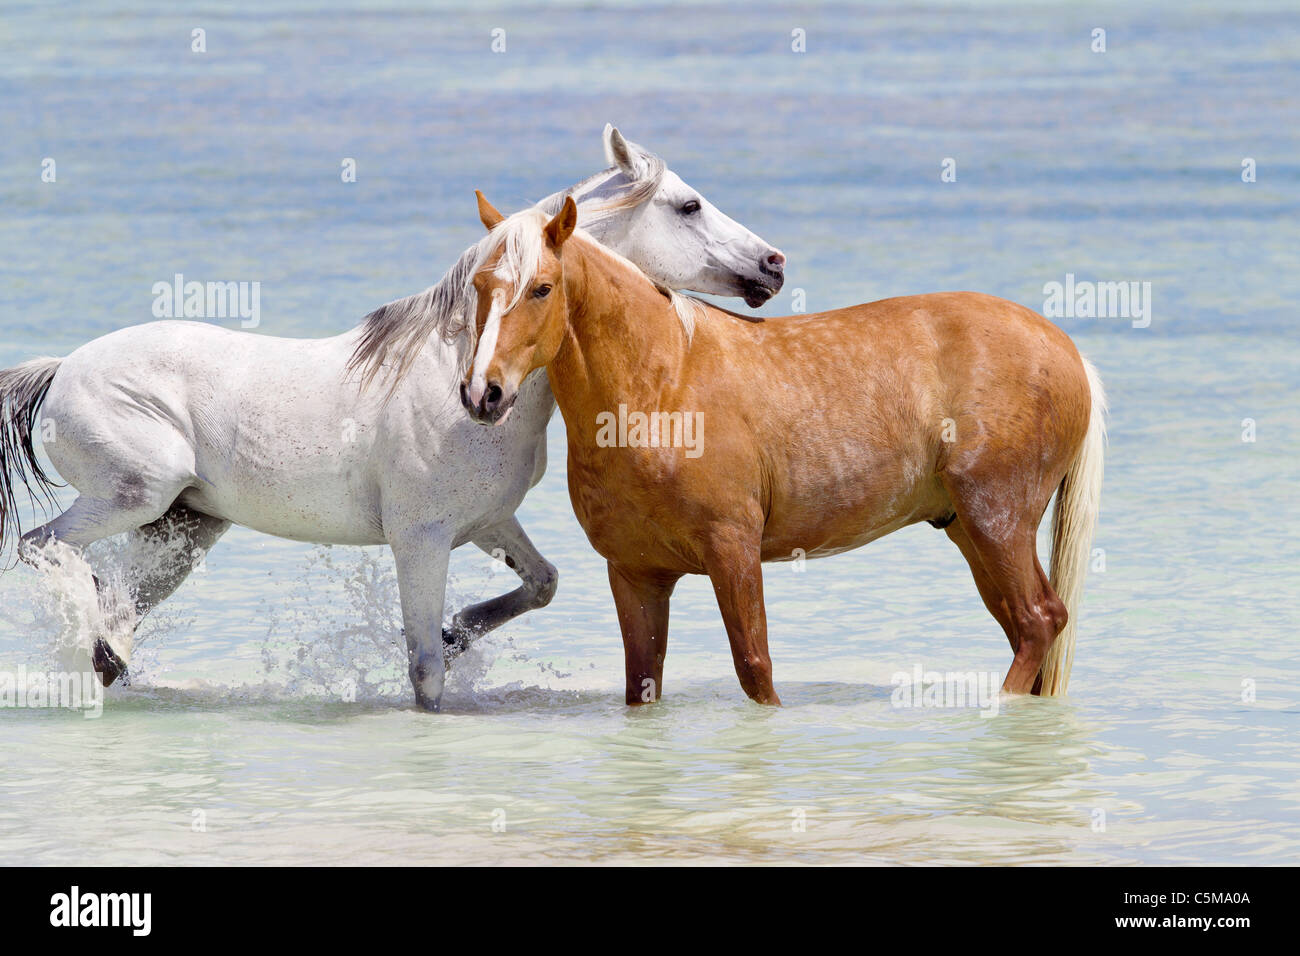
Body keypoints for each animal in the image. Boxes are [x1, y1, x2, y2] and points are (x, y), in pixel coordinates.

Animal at [0, 127, 786, 712]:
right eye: (688, 206)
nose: (773, 265)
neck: (458, 378)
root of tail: (62, 367)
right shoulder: (422, 540)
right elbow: (425, 670)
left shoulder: (489, 522)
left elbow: (542, 583)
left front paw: (462, 629)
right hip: (136, 495)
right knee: (42, 546)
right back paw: (97, 640)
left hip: (185, 528)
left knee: (114, 602)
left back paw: (108, 654)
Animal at [455, 196, 1105, 705]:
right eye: (479, 286)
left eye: (542, 288)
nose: (482, 392)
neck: (662, 383)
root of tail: (1065, 347)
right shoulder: (636, 574)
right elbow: (643, 682)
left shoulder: (733, 551)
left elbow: (756, 669)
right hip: (972, 531)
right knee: (1032, 628)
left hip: (997, 521)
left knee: (1038, 623)